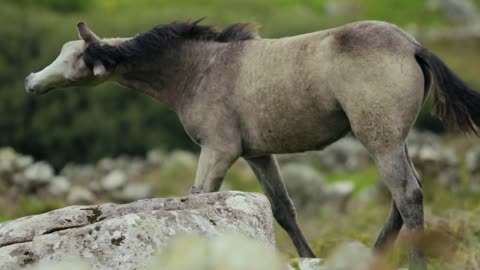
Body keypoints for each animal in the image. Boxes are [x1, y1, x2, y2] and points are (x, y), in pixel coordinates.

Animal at [25, 20, 480, 268]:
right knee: (402, 198)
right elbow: (283, 210)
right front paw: (308, 256)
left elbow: (198, 198)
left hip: (379, 139)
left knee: (407, 195)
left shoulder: (217, 151)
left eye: (74, 58)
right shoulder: (258, 155)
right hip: (393, 140)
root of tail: (413, 45)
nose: (31, 81)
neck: (199, 70)